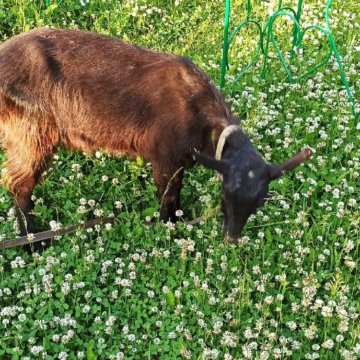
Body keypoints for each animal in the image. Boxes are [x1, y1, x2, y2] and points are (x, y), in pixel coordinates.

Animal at [0, 28, 310, 245]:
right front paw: (167, 228)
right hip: (31, 133)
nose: (230, 239)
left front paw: (180, 220)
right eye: (225, 193)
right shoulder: (164, 157)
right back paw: (32, 240)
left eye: (260, 201)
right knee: (19, 184)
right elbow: (167, 196)